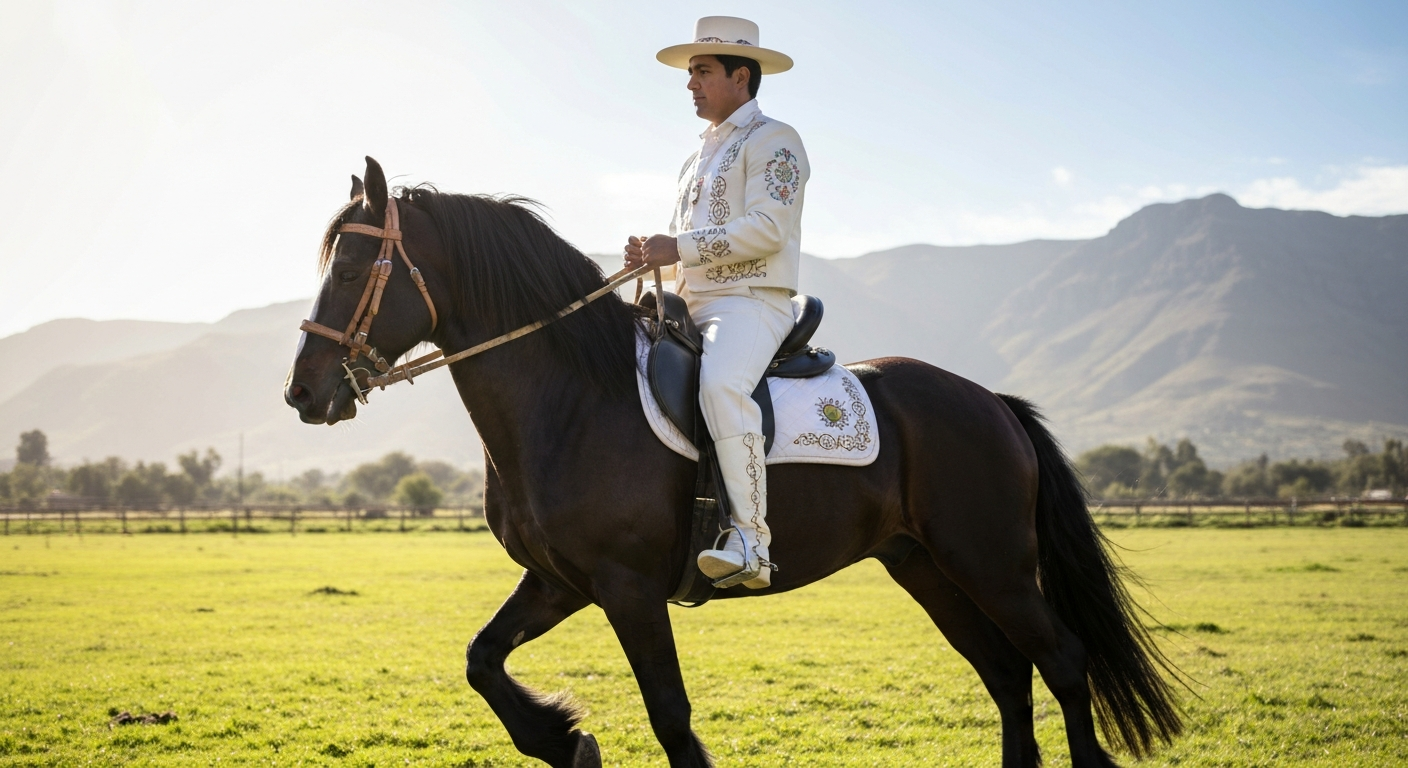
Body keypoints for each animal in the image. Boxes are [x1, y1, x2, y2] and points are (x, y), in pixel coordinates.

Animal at [284, 157, 1182, 768]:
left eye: (354, 267)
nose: (303, 392)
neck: (572, 400)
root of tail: (992, 402)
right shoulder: (560, 582)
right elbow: (481, 660)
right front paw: (564, 739)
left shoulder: (627, 589)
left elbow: (671, 717)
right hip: (926, 566)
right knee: (1006, 674)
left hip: (993, 563)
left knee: (1061, 661)